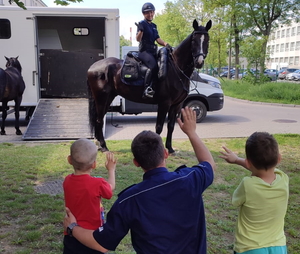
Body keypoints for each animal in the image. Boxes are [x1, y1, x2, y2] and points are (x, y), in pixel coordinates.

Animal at [88, 19, 212, 153]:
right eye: (194, 40)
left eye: (207, 40)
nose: (199, 62)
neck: (176, 69)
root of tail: (92, 67)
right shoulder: (164, 103)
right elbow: (159, 127)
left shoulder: (176, 105)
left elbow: (171, 126)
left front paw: (170, 148)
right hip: (102, 99)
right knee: (99, 120)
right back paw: (103, 146)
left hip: (108, 98)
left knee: (98, 119)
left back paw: (99, 145)